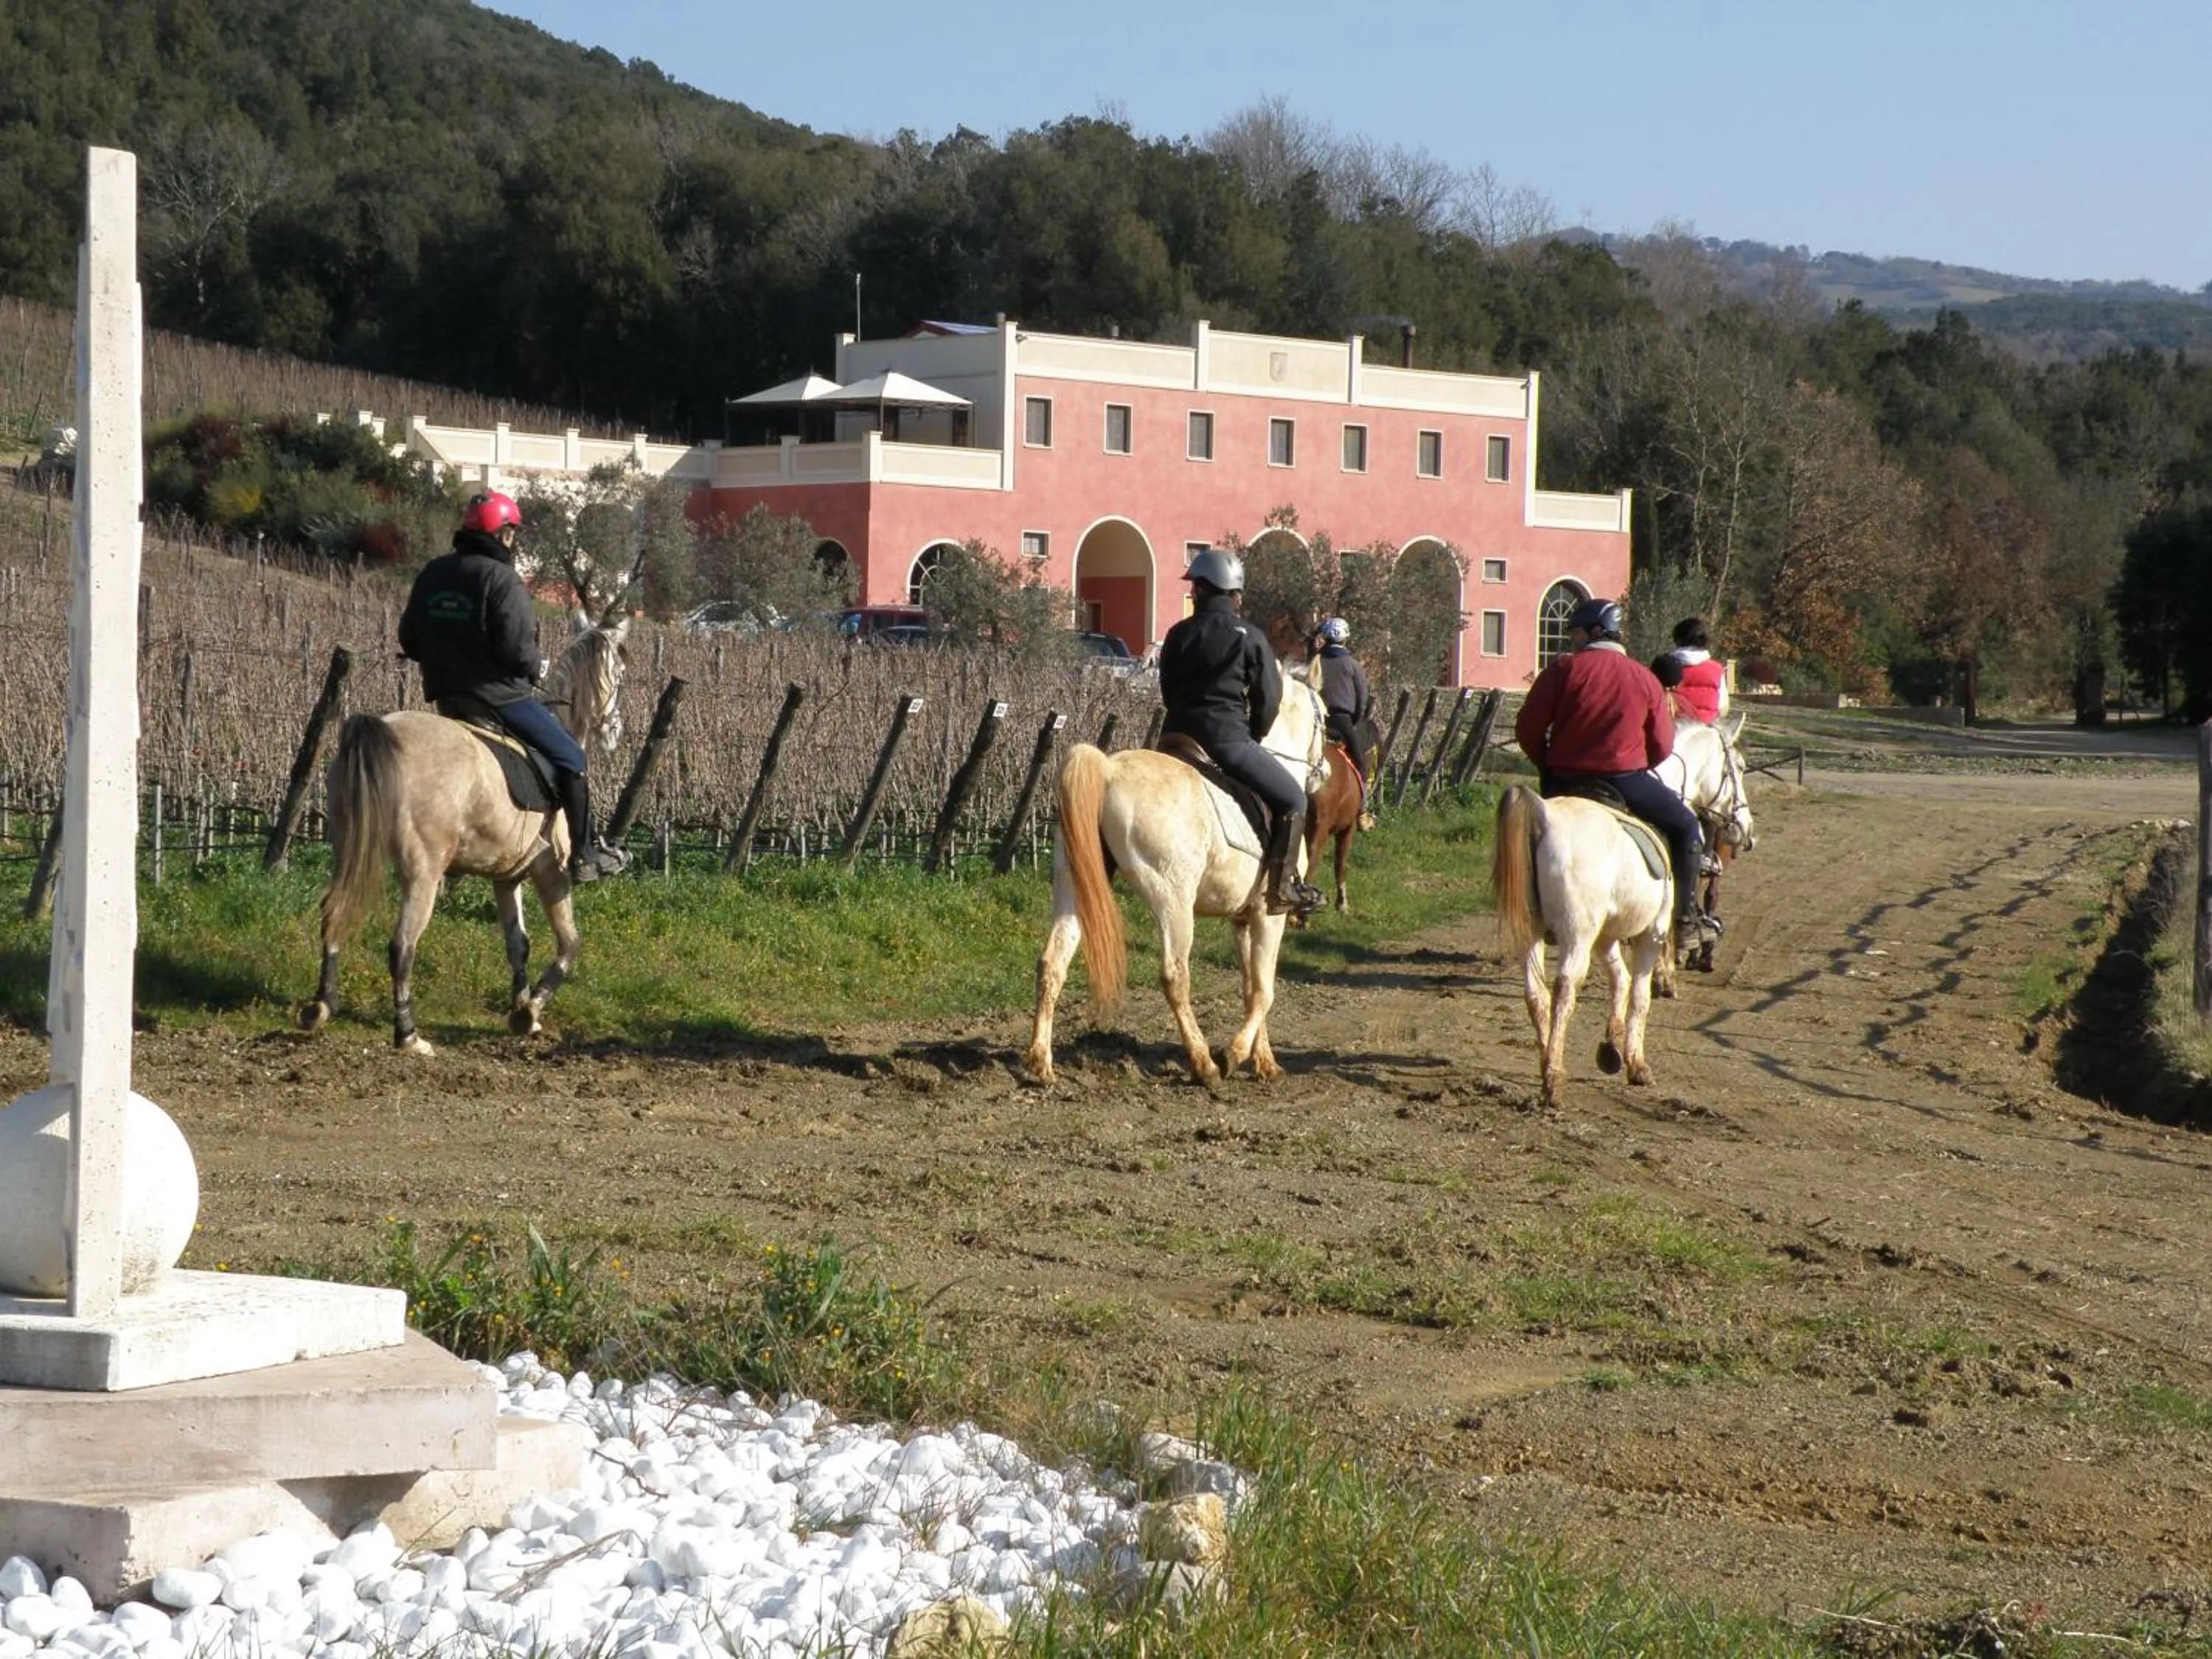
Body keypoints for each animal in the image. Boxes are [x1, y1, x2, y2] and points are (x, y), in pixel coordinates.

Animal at [298, 616, 630, 1055]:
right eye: (620, 673)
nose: (615, 731)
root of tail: (383, 729)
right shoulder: (551, 870)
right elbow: (570, 942)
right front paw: (530, 1012)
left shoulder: (507, 877)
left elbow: (518, 944)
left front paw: (521, 1010)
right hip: (423, 871)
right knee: (402, 945)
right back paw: (409, 1035)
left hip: (348, 850)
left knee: (335, 912)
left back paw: (321, 1006)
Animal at [1025, 671, 1328, 1085]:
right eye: (1325, 718)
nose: (1324, 773)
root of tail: (1108, 770)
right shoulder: (1271, 915)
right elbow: (1265, 991)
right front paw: (1235, 1055)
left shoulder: (1242, 919)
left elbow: (1251, 987)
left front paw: (1264, 1062)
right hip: (1172, 899)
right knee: (1175, 975)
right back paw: (1205, 1064)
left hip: (1073, 887)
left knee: (1052, 963)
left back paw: (1041, 1064)